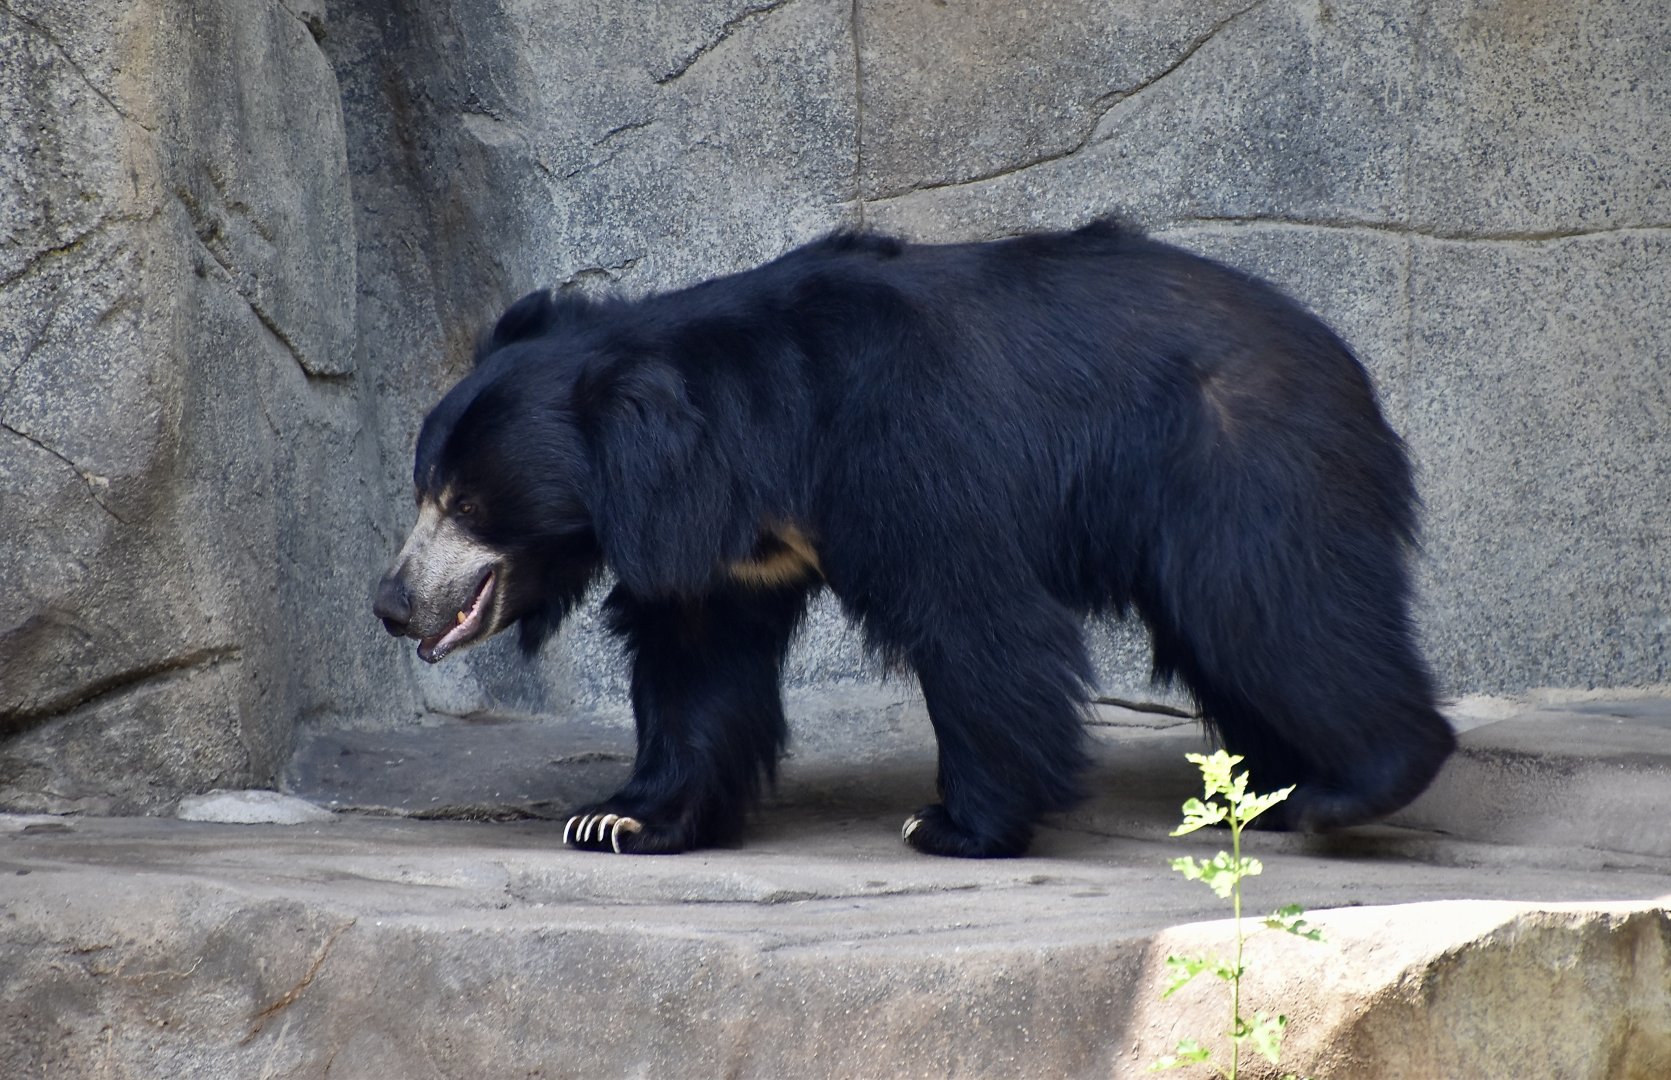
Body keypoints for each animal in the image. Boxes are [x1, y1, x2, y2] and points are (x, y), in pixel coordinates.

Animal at [372, 218, 1456, 858]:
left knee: (1276, 611)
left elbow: (975, 617)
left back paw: (1351, 788)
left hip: (1240, 461)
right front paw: (621, 815)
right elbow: (696, 658)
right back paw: (1271, 785)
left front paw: (953, 824)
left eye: (465, 503)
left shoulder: (902, 446)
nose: (391, 602)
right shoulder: (718, 543)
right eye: (423, 488)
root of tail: (1341, 357)